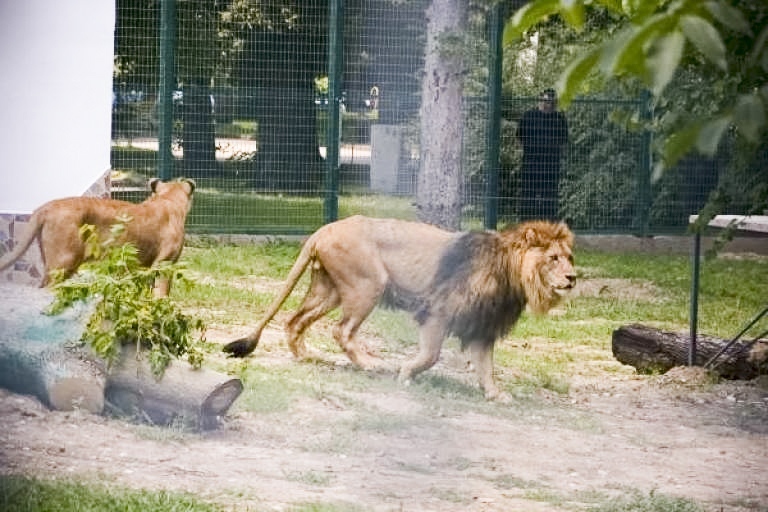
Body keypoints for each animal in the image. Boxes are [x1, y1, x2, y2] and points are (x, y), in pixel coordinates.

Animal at [0, 178, 195, 296]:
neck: (168, 199)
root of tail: (46, 207)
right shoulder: (165, 263)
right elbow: (162, 293)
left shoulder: (143, 268)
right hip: (63, 262)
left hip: (54, 264)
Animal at [225, 216, 572, 400]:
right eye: (553, 258)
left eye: (570, 257)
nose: (574, 277)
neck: (509, 271)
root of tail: (326, 228)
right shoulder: (437, 312)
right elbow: (431, 355)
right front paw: (405, 373)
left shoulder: (482, 327)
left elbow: (486, 367)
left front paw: (495, 394)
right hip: (369, 284)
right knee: (341, 330)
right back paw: (368, 364)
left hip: (330, 290)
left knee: (294, 321)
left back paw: (307, 356)